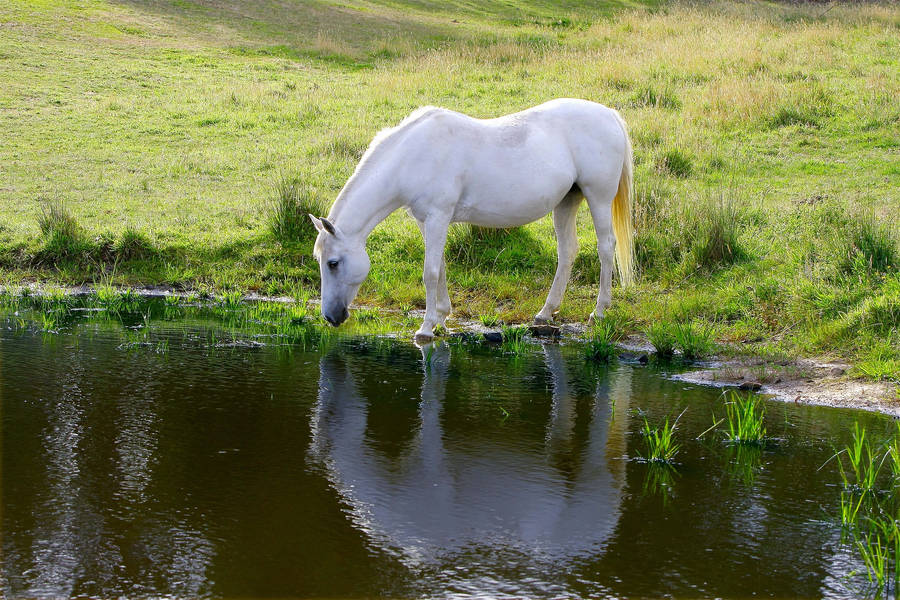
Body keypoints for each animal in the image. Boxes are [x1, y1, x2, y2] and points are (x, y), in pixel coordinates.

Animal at [309, 98, 634, 341]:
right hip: (567, 202)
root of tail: (609, 115)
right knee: (567, 252)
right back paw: (545, 312)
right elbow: (439, 267)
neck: (413, 155)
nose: (331, 316)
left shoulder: (438, 216)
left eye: (333, 263)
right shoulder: (426, 220)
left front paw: (426, 328)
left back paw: (599, 311)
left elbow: (430, 272)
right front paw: (441, 317)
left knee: (606, 248)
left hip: (598, 198)